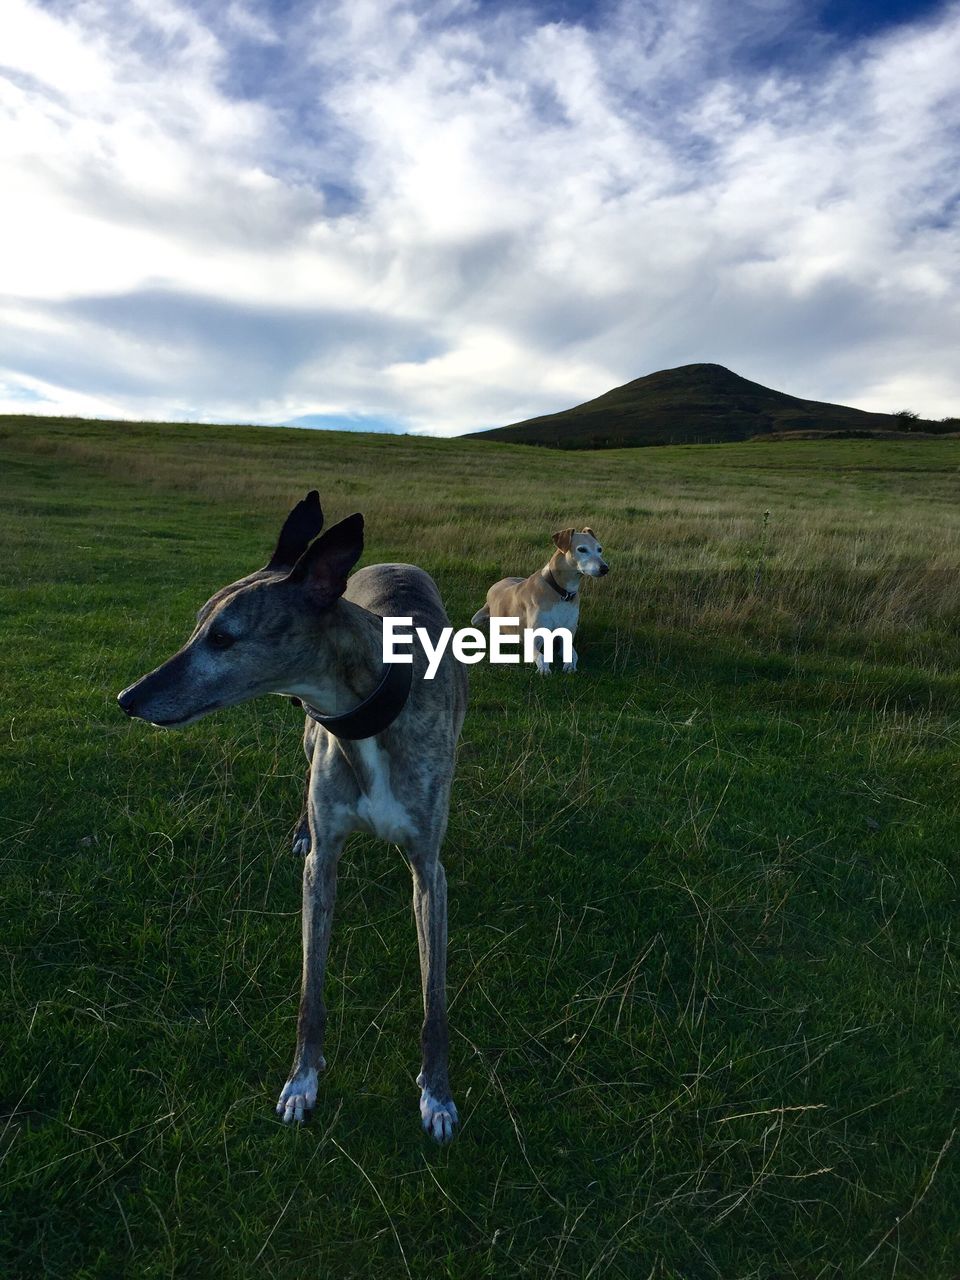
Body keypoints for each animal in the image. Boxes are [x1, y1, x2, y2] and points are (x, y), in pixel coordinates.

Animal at [471, 524, 609, 675]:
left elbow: (573, 654)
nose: (605, 568)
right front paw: (544, 668)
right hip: (477, 619)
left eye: (600, 549)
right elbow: (540, 655)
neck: (561, 593)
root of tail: (500, 581)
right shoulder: (533, 639)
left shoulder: (566, 635)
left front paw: (570, 665)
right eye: (582, 549)